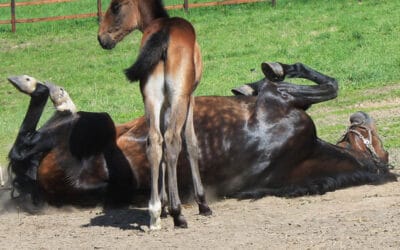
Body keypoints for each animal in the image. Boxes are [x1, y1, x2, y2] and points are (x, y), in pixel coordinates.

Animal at [6, 61, 396, 216]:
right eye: (377, 142)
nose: (361, 118)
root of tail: (47, 185)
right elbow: (327, 84)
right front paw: (249, 83)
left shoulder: (281, 98)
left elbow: (330, 85)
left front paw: (271, 72)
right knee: (23, 147)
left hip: (92, 125)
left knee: (27, 143)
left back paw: (44, 90)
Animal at [98, 0, 212, 229]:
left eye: (116, 6)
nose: (101, 38)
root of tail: (165, 33)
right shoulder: (190, 97)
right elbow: (191, 142)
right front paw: (201, 203)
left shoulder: (162, 104)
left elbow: (160, 150)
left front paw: (163, 204)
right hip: (179, 98)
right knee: (172, 141)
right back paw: (178, 213)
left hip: (151, 99)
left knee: (154, 142)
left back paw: (154, 211)